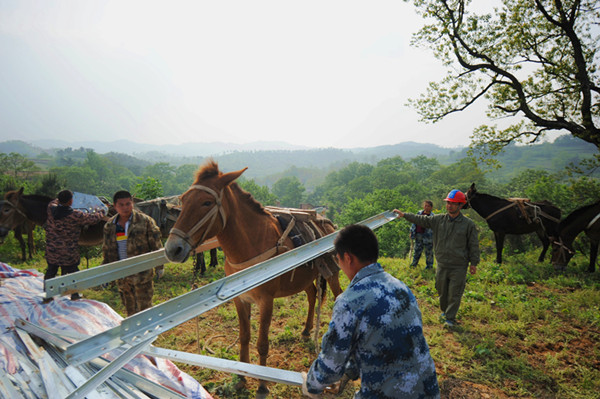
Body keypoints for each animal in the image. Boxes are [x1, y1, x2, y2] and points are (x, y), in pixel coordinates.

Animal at [164, 161, 342, 398]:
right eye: (183, 200)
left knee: (338, 295)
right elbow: (244, 337)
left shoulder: (266, 301)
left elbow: (262, 343)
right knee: (313, 295)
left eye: (206, 202)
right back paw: (306, 330)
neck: (251, 246)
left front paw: (262, 386)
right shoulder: (240, 300)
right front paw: (241, 379)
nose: (172, 249)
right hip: (305, 279)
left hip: (332, 274)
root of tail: (328, 223)